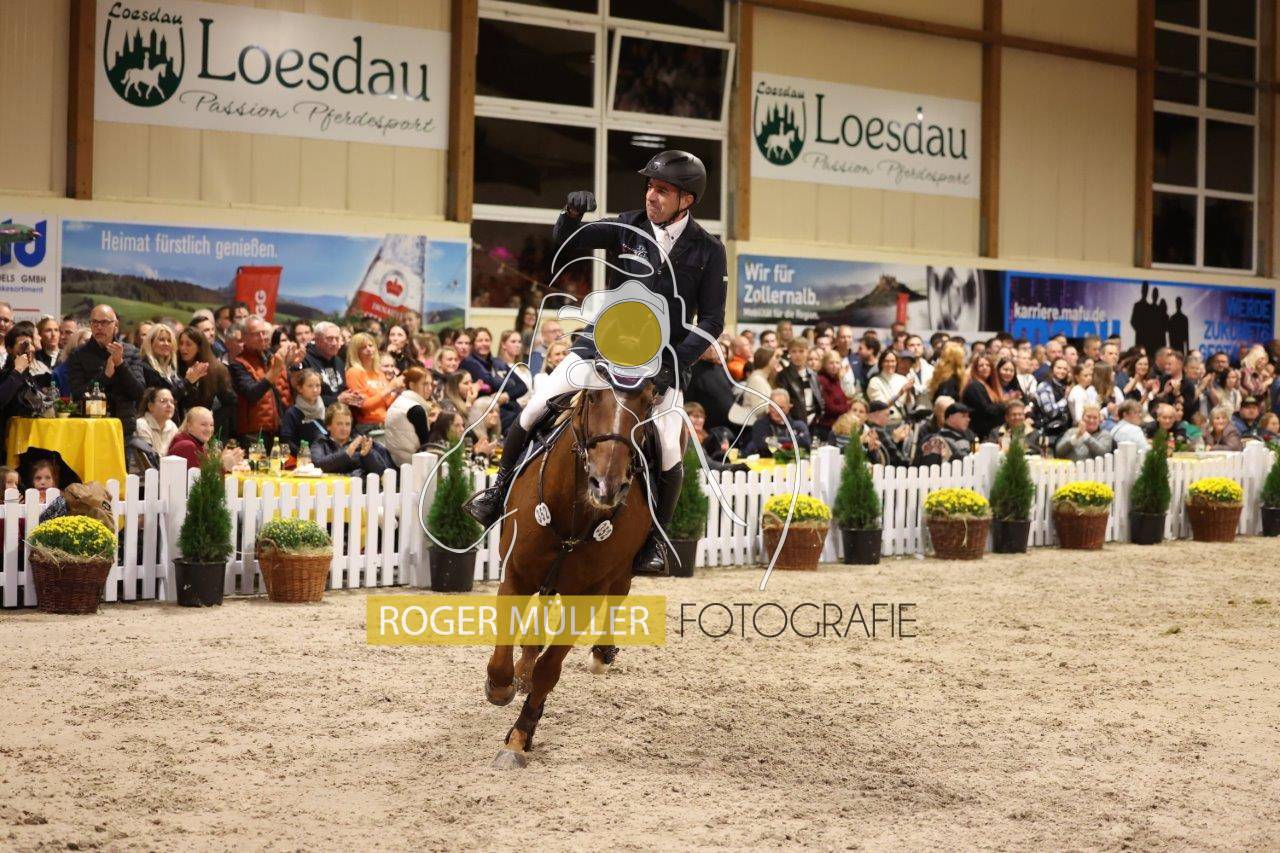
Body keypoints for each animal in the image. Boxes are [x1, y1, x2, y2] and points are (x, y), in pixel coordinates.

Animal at [484, 377, 661, 769]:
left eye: (646, 403)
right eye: (593, 397)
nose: (606, 485)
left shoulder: (587, 595)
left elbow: (548, 671)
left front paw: (519, 738)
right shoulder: (516, 574)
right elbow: (502, 657)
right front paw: (502, 687)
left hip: (617, 572)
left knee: (618, 595)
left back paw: (601, 654)